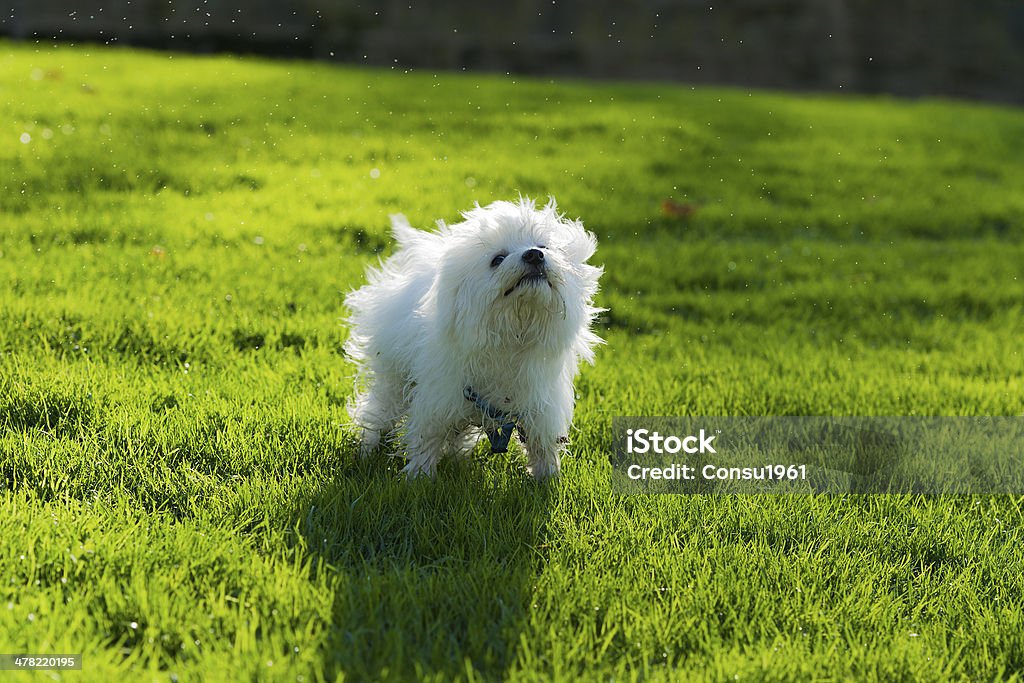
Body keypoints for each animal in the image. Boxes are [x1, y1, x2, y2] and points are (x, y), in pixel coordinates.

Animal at [344, 194, 598, 479]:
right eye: (497, 259)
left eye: (543, 246)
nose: (534, 254)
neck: (514, 335)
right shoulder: (439, 395)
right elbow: (427, 436)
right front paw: (419, 476)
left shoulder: (541, 404)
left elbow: (541, 443)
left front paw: (548, 478)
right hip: (394, 379)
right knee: (379, 411)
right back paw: (368, 448)